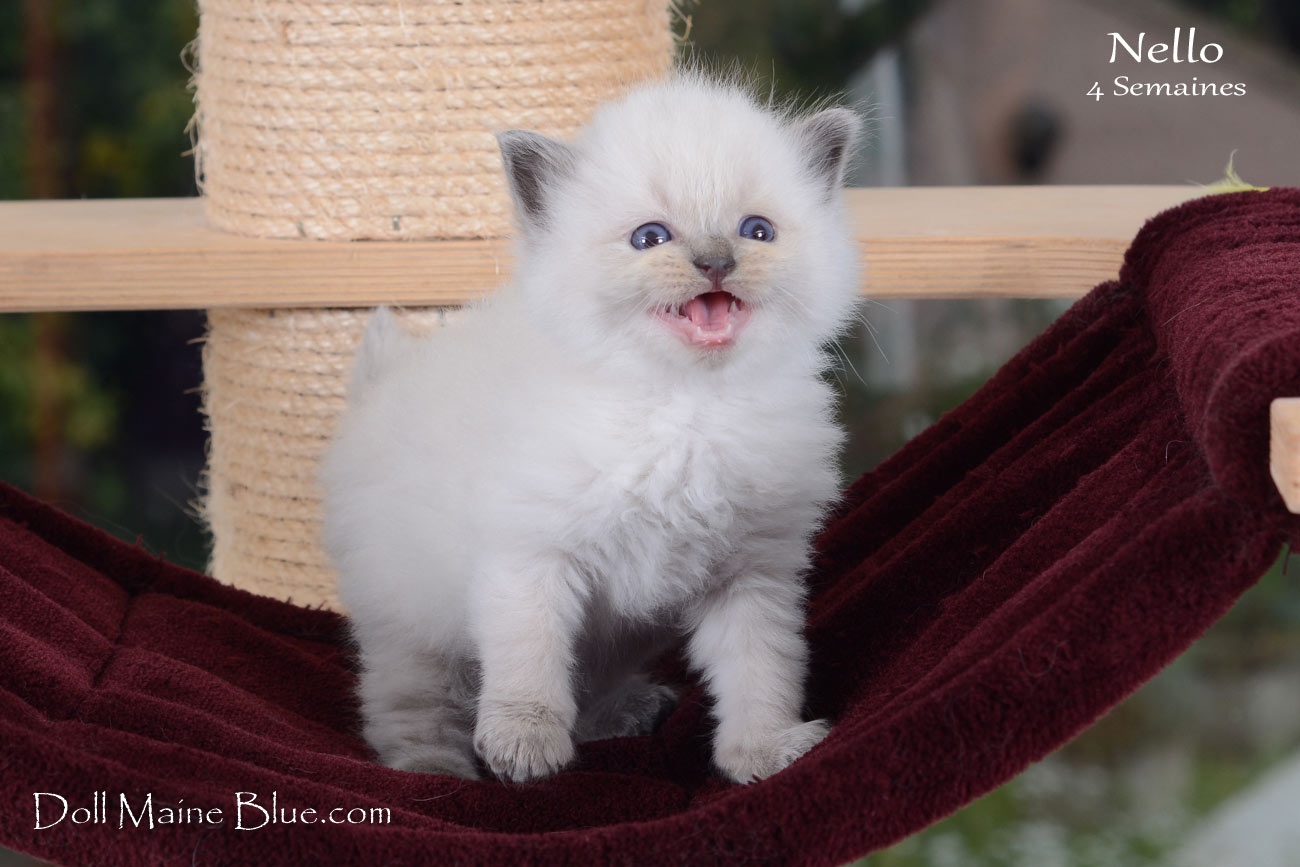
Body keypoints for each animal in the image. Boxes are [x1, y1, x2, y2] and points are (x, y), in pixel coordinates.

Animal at [320, 72, 862, 784]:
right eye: (650, 239)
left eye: (757, 231)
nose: (717, 260)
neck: (682, 407)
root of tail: (379, 392)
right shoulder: (530, 556)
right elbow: (527, 660)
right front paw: (523, 744)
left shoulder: (752, 574)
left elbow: (760, 671)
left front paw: (763, 752)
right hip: (408, 616)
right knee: (408, 706)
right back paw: (434, 775)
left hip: (623, 631)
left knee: (589, 681)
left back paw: (626, 713)